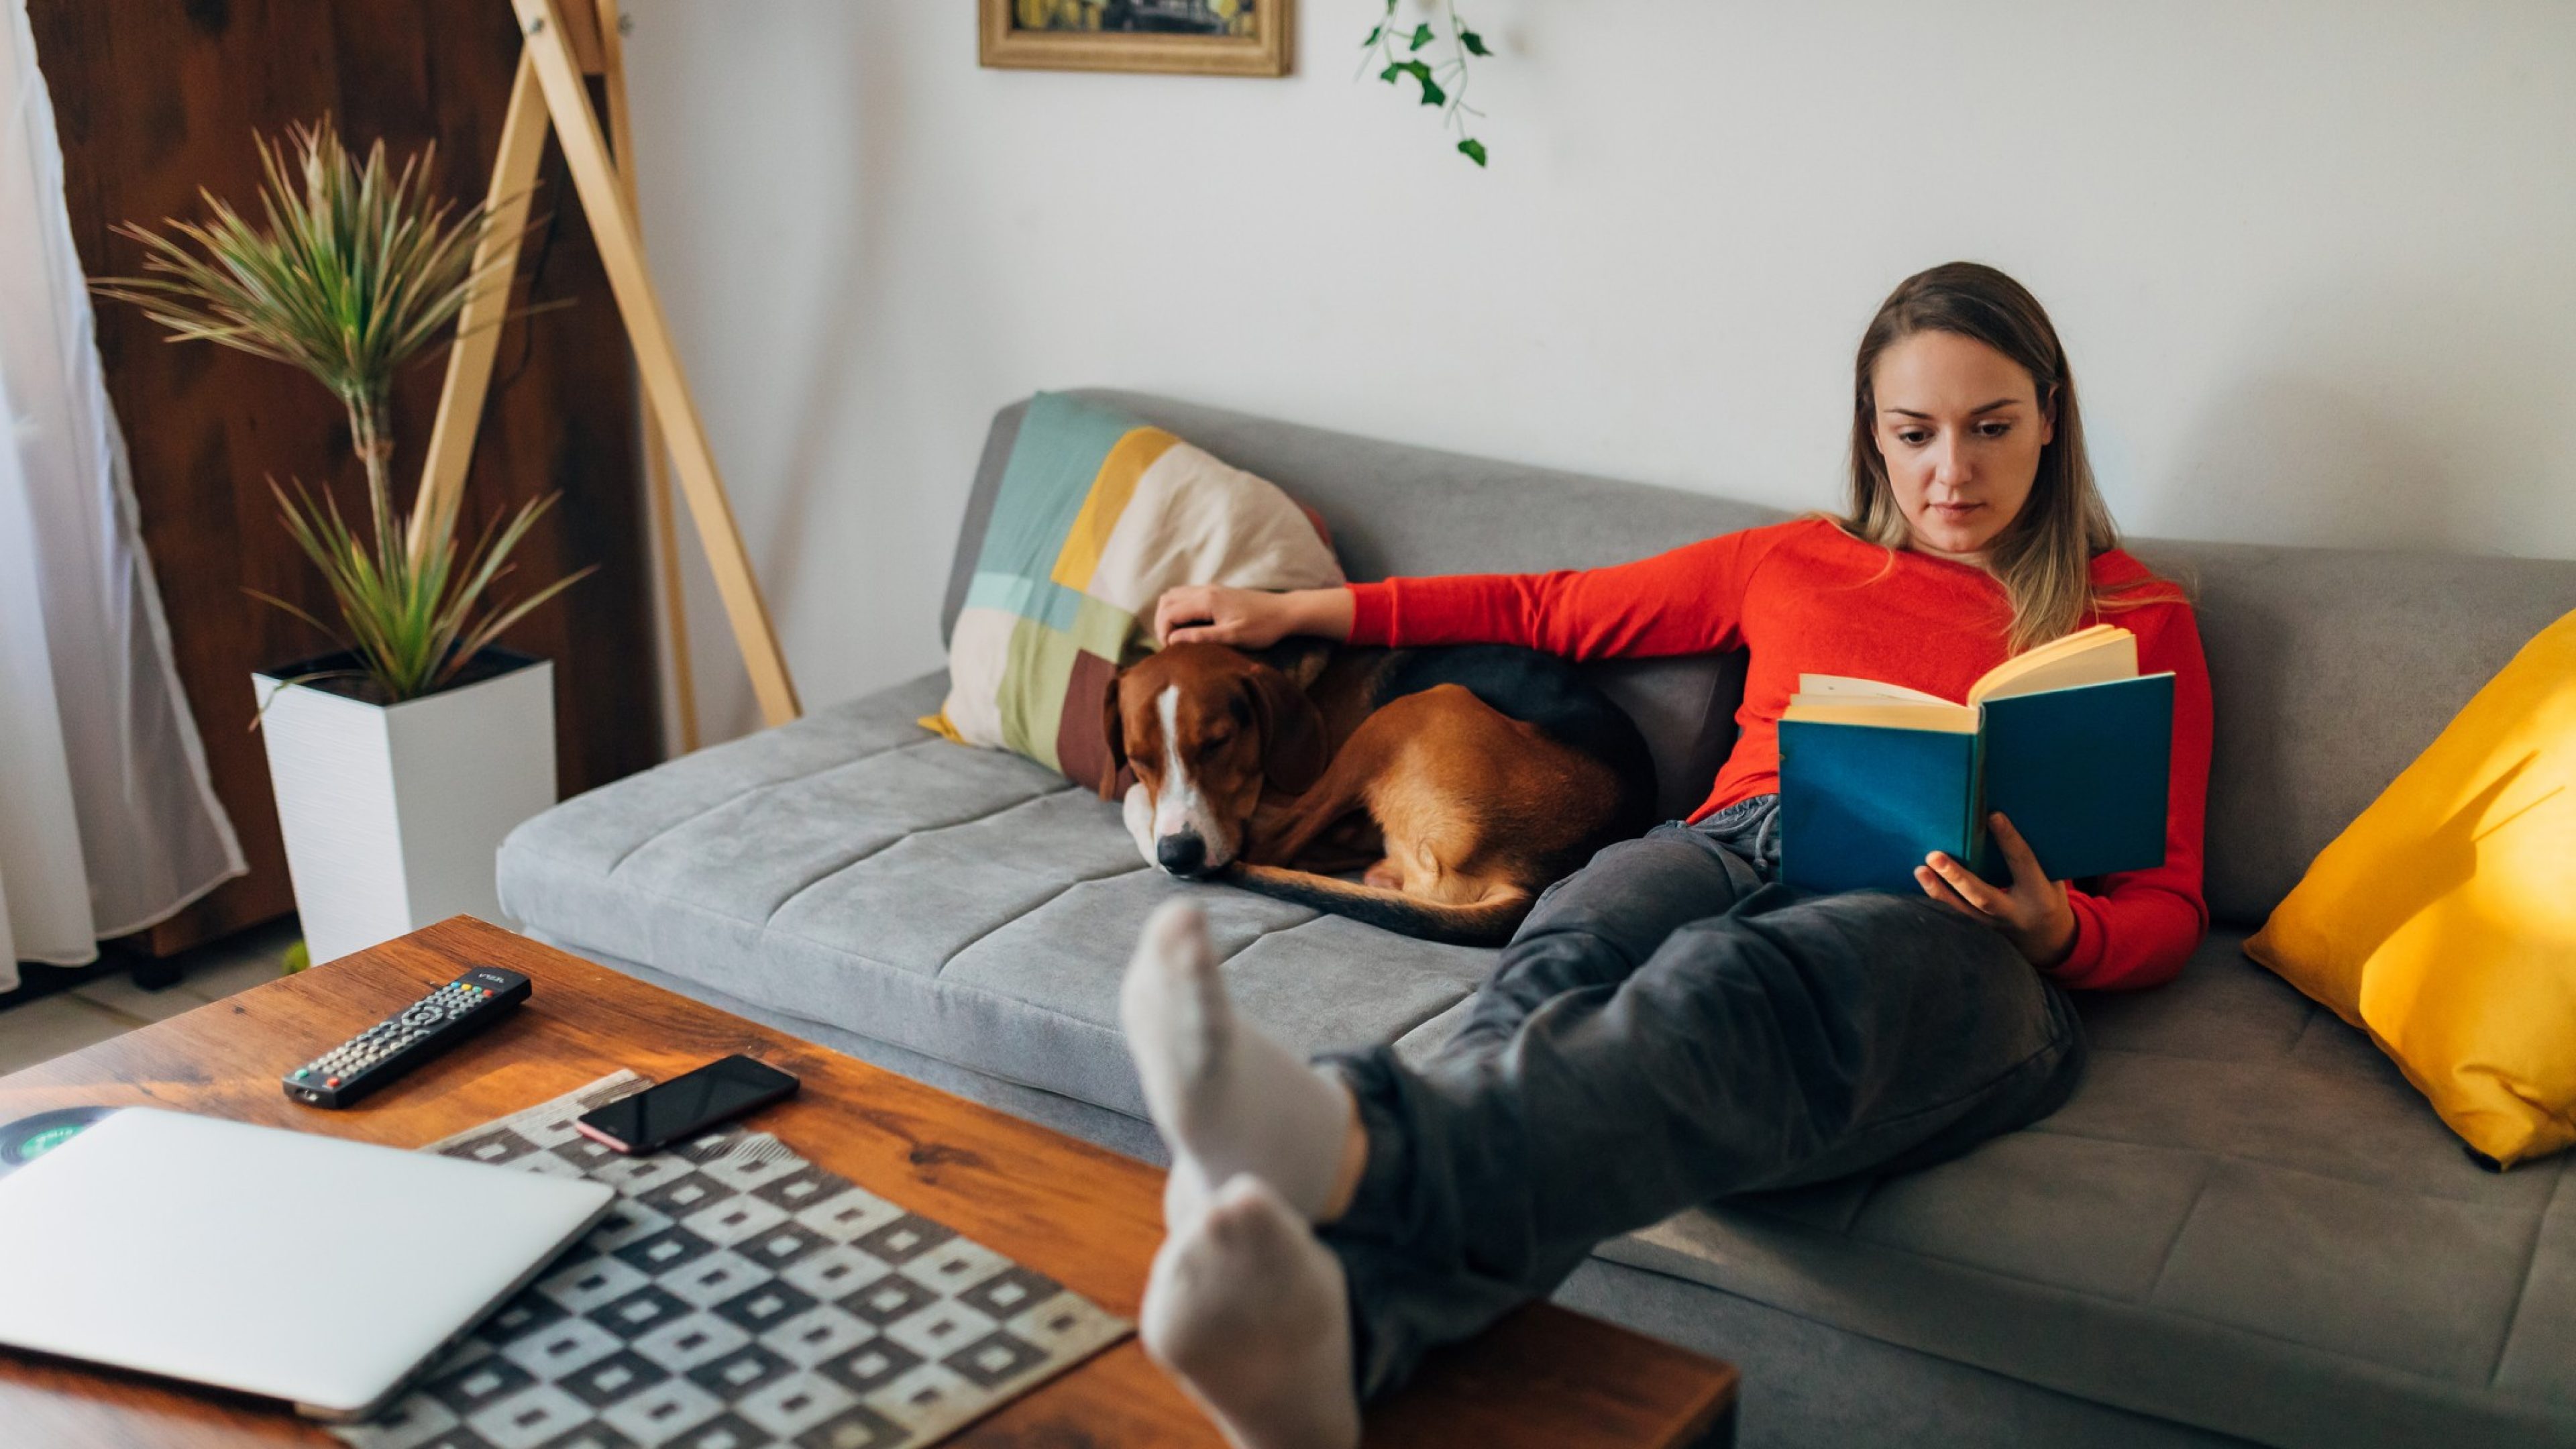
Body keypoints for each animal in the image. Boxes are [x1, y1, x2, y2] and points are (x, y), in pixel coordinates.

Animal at [1097, 637, 1658, 943]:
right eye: (1137, 758)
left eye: (1218, 743)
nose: (1179, 856)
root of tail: (1538, 877)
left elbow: (1140, 803)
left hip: (1410, 710)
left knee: (1269, 846)